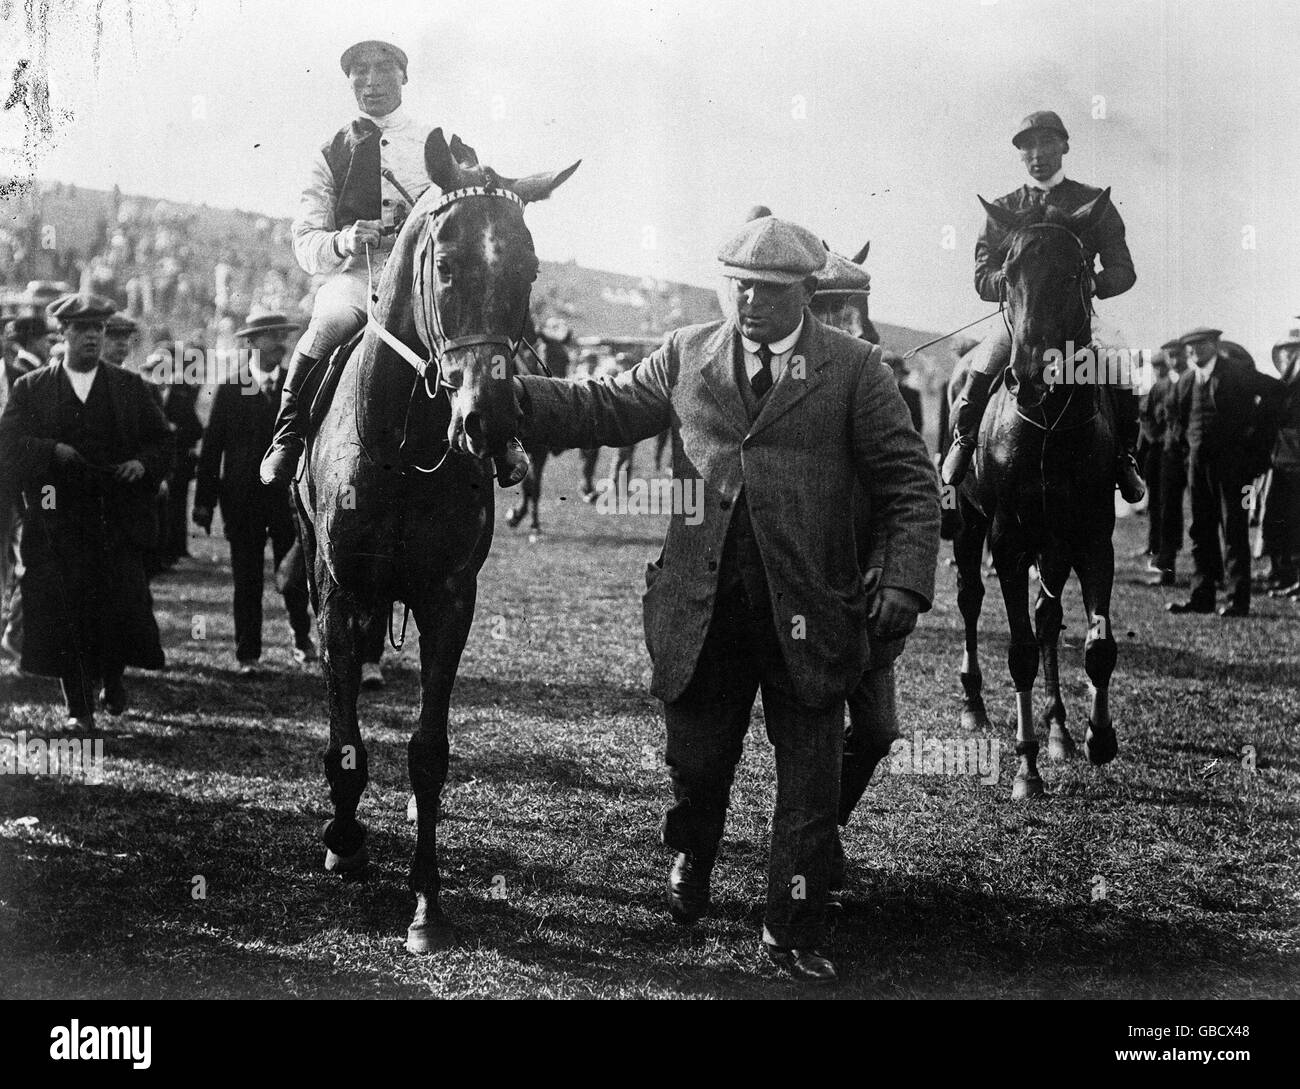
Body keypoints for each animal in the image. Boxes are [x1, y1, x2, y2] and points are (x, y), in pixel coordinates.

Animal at [297, 129, 582, 956]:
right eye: (448, 264)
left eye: (529, 267)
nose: (489, 416)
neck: (402, 446)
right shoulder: (340, 591)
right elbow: (347, 736)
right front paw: (345, 840)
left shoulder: (449, 599)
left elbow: (428, 751)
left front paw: (426, 901)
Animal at [956, 192, 1128, 795]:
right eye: (1007, 275)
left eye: (1075, 272)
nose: (1028, 377)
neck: (1048, 425)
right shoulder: (1008, 541)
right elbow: (1020, 651)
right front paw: (1025, 766)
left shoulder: (1093, 539)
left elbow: (1098, 646)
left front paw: (1099, 738)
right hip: (967, 523)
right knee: (970, 600)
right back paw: (975, 705)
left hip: (1054, 546)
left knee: (1049, 617)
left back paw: (1059, 729)